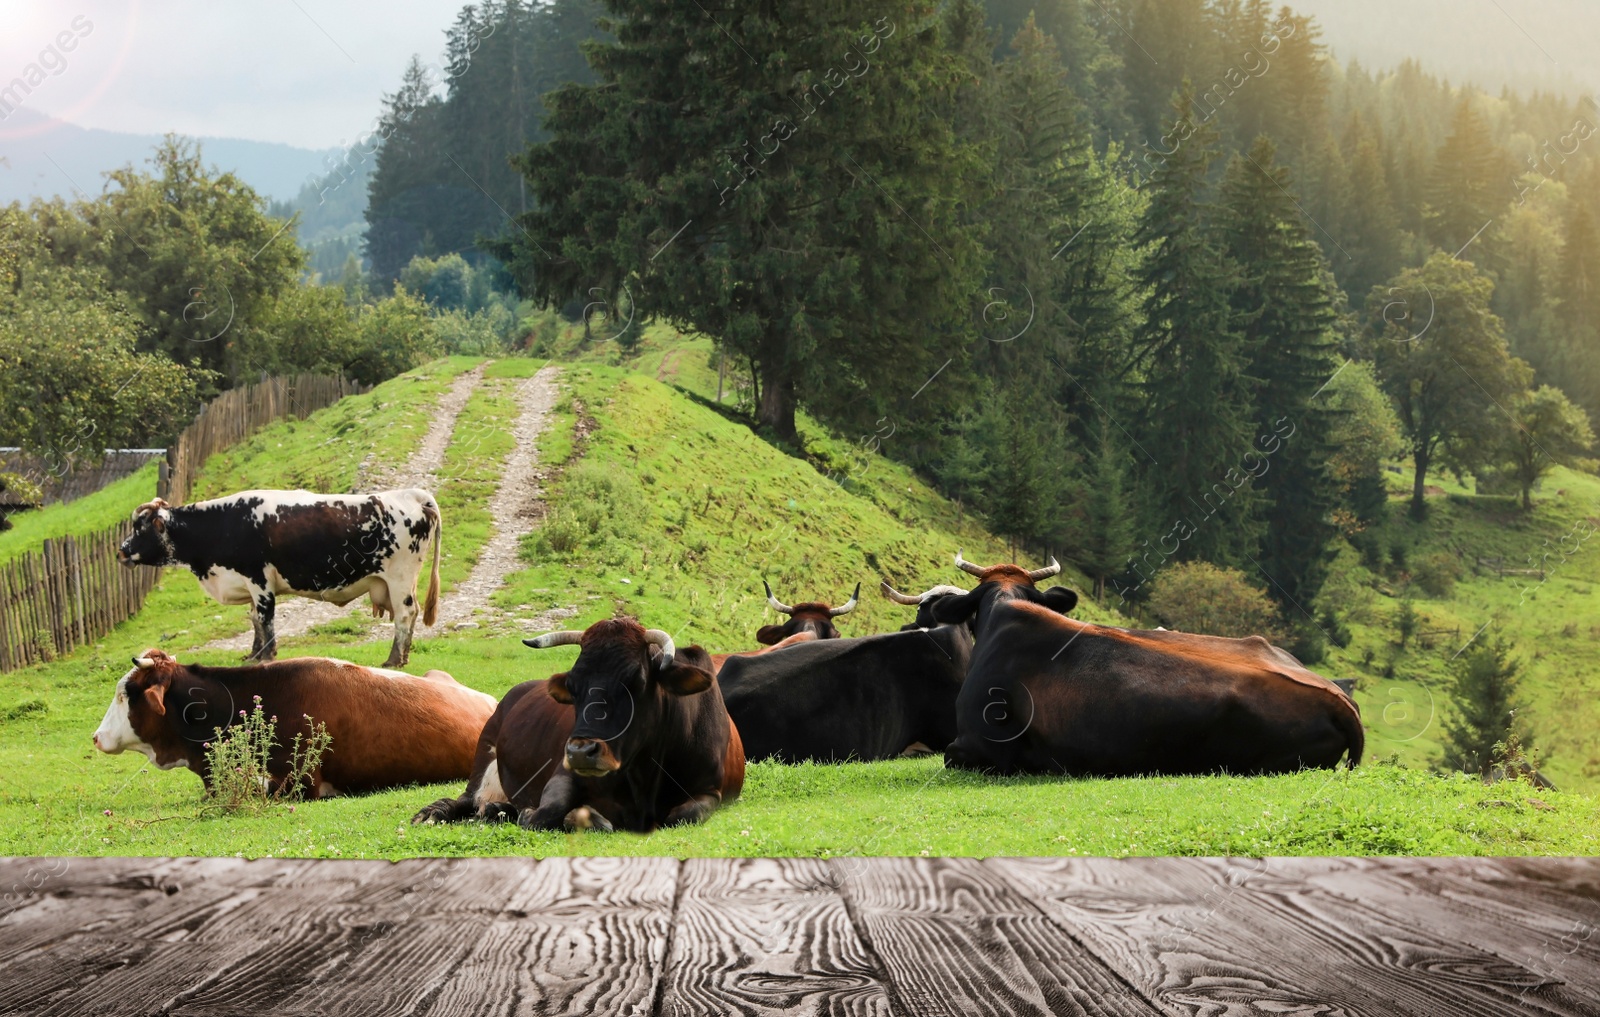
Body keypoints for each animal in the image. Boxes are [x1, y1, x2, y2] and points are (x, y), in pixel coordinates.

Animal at [117, 489, 444, 668]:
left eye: (140, 527)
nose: (120, 551)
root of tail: (414, 494)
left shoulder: (259, 581)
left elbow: (265, 618)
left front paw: (267, 656)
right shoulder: (249, 584)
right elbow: (254, 619)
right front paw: (252, 654)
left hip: (399, 577)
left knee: (405, 614)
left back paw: (394, 659)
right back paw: (403, 656)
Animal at [409, 617, 739, 831]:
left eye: (637, 681)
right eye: (573, 683)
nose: (581, 752)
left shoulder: (711, 791)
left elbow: (683, 815)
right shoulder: (562, 775)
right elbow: (548, 813)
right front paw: (540, 814)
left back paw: (496, 809)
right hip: (483, 756)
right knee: (464, 799)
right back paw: (434, 813)